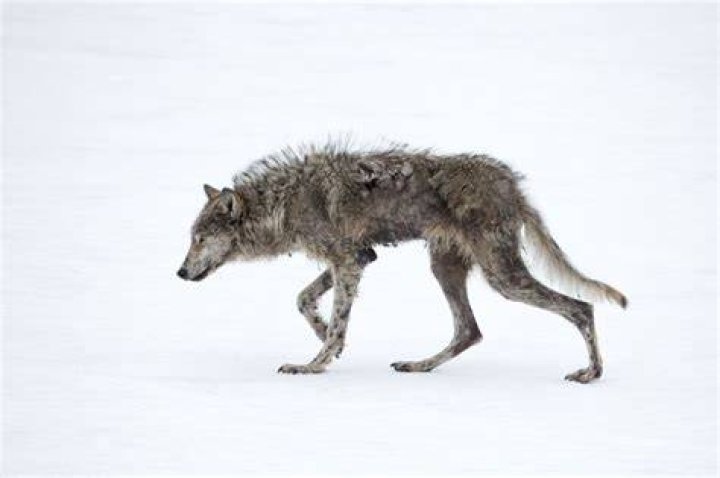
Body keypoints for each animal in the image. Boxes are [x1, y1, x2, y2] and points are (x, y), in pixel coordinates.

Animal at [177, 142, 627, 382]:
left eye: (200, 239)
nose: (180, 272)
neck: (284, 203)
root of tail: (512, 186)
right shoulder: (360, 256)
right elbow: (305, 300)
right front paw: (326, 340)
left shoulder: (349, 258)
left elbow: (333, 320)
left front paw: (314, 364)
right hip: (446, 269)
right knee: (469, 331)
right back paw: (418, 365)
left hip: (503, 278)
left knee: (581, 308)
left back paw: (590, 373)